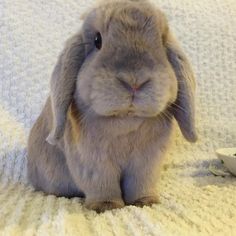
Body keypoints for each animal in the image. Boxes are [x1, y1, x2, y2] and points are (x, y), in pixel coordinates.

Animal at [28, 0, 197, 213]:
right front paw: (106, 206)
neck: (126, 120)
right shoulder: (93, 162)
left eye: (161, 40)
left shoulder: (147, 162)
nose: (135, 81)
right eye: (97, 40)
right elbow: (102, 184)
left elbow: (142, 182)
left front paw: (146, 201)